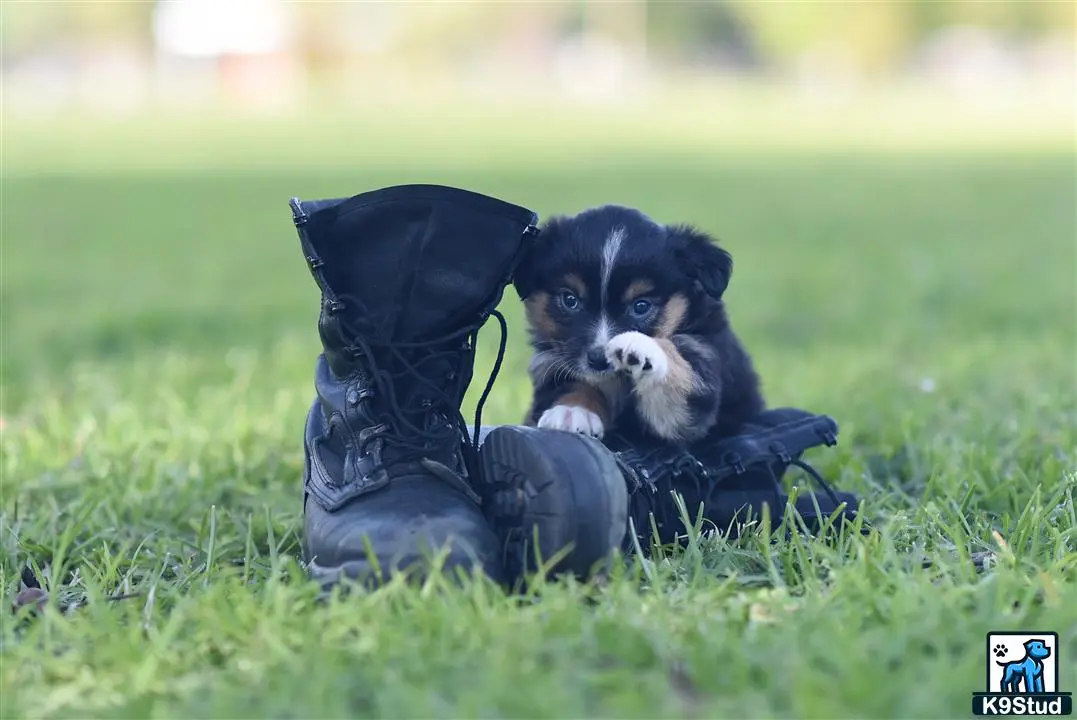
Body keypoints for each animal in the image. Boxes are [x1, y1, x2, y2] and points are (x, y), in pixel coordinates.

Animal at [512, 203, 766, 443]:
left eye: (641, 306)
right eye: (570, 300)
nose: (599, 360)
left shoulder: (701, 365)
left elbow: (678, 371)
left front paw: (641, 347)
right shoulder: (551, 365)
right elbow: (574, 385)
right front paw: (572, 410)